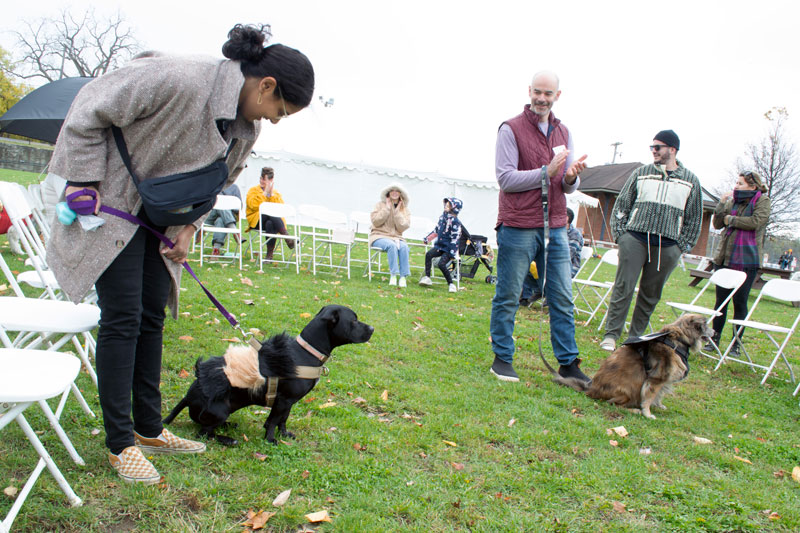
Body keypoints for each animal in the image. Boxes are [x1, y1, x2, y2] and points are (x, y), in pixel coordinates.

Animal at [165, 304, 376, 444]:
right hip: (220, 409)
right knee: (203, 432)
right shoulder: (283, 399)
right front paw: (270, 439)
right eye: (354, 320)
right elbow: (274, 420)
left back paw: (229, 426)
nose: (373, 328)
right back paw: (227, 439)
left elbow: (283, 419)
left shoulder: (288, 402)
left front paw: (284, 434)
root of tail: (189, 394)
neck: (307, 351)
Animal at [544, 314, 712, 418]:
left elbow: (659, 395)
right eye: (706, 324)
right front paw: (647, 413)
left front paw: (659, 406)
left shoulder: (663, 381)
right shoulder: (656, 379)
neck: (679, 338)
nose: (715, 332)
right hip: (630, 388)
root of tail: (591, 388)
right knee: (612, 404)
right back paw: (634, 411)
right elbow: (649, 398)